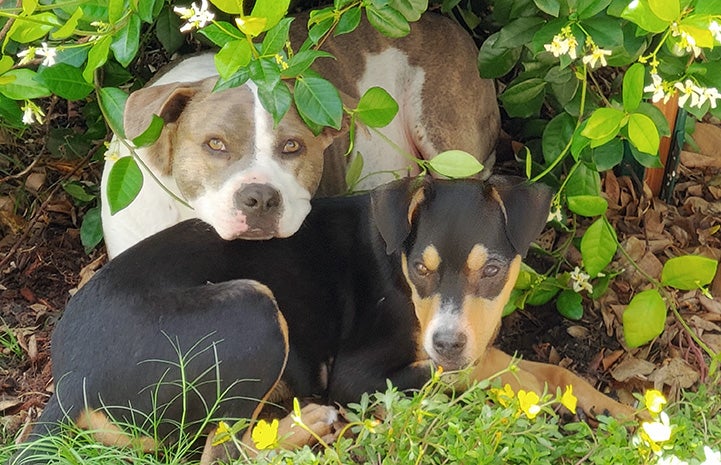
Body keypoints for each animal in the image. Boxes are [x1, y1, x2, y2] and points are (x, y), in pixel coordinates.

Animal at [11, 177, 632, 460]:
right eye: (420, 268)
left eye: (494, 270)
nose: (447, 342)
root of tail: (69, 381)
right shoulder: (360, 375)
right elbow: (477, 374)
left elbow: (549, 370)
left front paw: (619, 410)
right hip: (253, 312)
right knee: (216, 450)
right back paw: (310, 422)